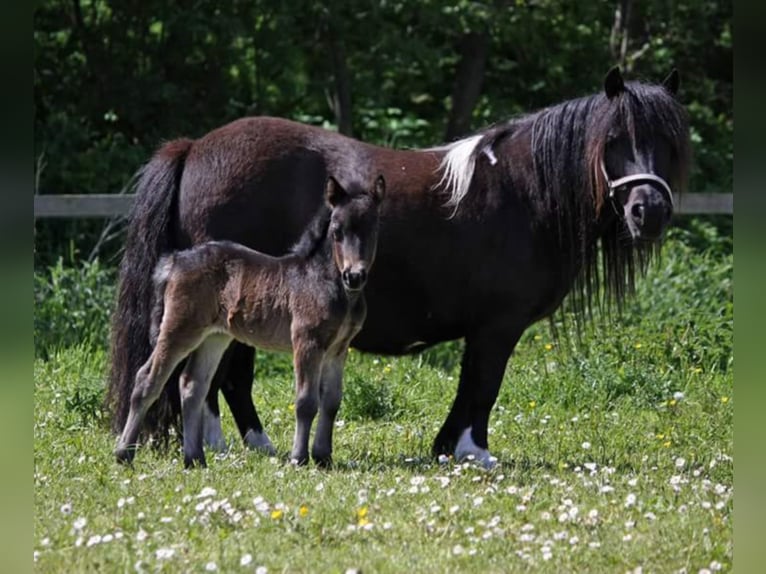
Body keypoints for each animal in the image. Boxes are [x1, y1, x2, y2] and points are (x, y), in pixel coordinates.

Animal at [109, 67, 696, 468]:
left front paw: (448, 449)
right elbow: (483, 387)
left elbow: (471, 386)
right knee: (216, 381)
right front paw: (474, 452)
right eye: (614, 142)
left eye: (669, 144)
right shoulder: (498, 326)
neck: (526, 191)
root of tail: (195, 147)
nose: (648, 210)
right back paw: (237, 448)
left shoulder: (485, 328)